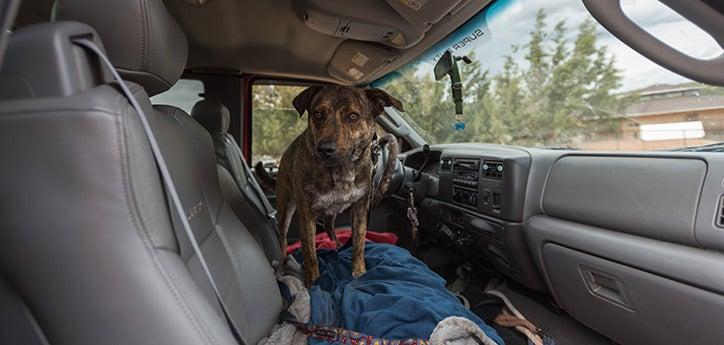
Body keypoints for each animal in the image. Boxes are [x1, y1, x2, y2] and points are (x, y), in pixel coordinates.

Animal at [253, 84, 402, 284]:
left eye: (353, 116)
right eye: (318, 114)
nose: (325, 149)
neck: (342, 169)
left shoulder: (360, 208)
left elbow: (359, 244)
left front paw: (359, 272)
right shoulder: (306, 217)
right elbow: (310, 256)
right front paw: (313, 282)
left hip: (332, 212)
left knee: (330, 228)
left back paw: (337, 245)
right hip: (285, 208)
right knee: (282, 238)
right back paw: (284, 261)